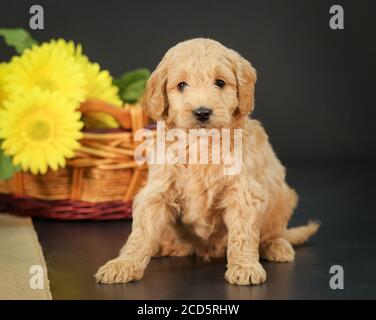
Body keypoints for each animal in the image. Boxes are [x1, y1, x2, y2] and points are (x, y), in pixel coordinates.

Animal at [95, 37, 318, 284]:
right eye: (181, 85)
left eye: (220, 82)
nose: (202, 112)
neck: (201, 143)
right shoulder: (156, 191)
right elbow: (141, 233)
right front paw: (123, 264)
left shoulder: (243, 192)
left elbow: (243, 233)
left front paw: (244, 267)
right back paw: (163, 247)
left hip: (283, 198)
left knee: (273, 231)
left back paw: (276, 245)